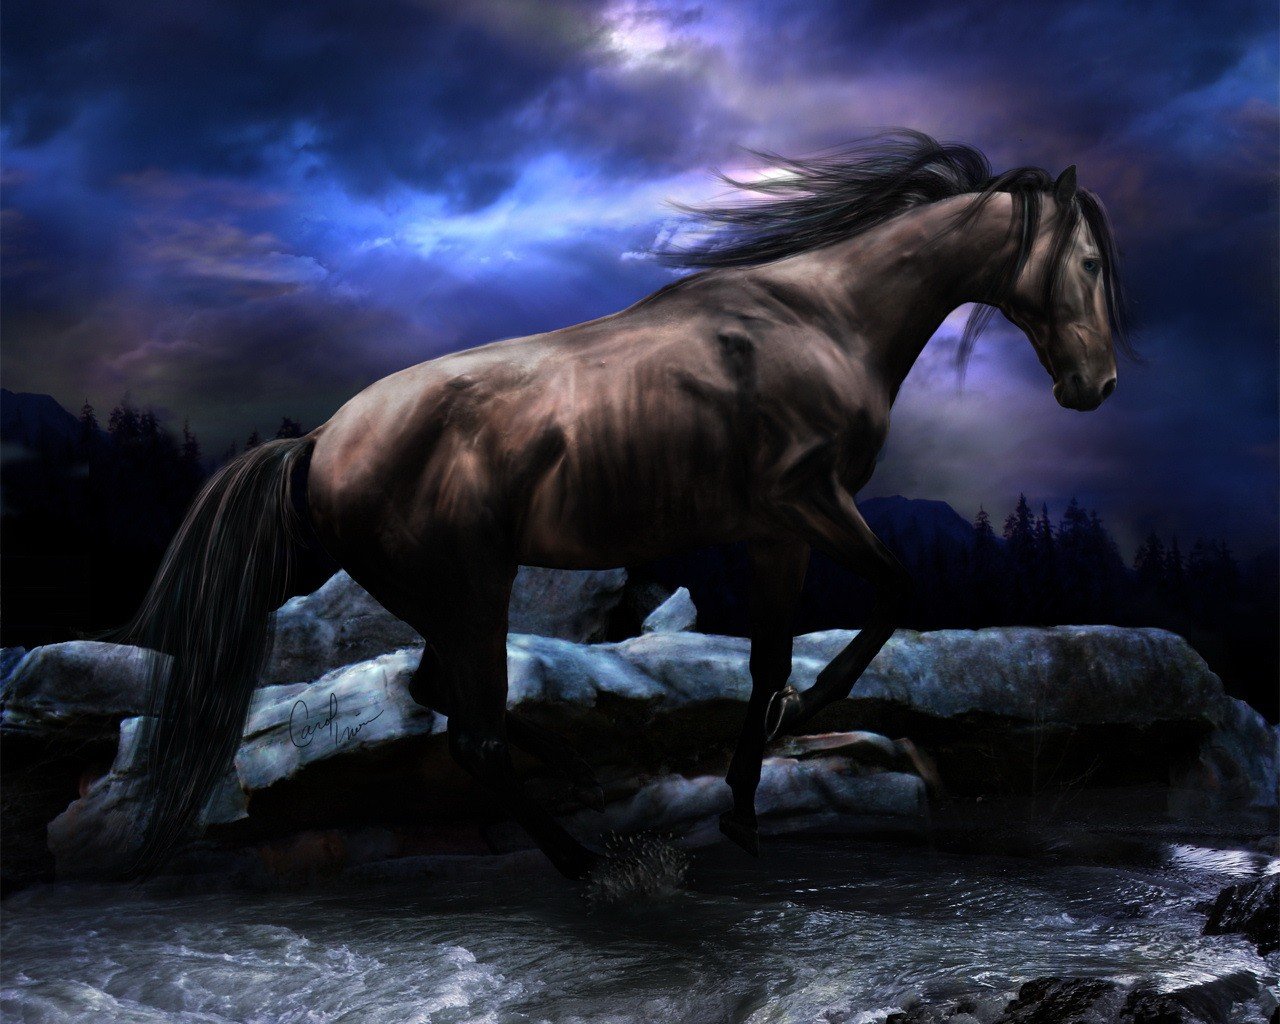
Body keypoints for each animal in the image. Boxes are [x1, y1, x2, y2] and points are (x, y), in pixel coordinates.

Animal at [118, 131, 1130, 881]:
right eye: (1086, 260)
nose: (1098, 387)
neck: (824, 321)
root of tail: (324, 439)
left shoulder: (777, 534)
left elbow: (766, 662)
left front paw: (745, 810)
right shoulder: (811, 503)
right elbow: (892, 594)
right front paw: (803, 715)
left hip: (439, 599)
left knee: (442, 701)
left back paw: (578, 784)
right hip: (472, 589)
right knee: (474, 734)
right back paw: (586, 862)